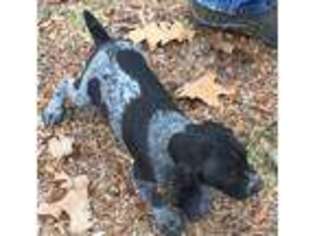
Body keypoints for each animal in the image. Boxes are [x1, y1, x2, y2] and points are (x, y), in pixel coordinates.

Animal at [42, 10, 264, 236]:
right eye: (228, 173)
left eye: (246, 157)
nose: (259, 185)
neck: (173, 134)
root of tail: (107, 42)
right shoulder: (141, 175)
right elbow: (156, 199)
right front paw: (168, 219)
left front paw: (194, 202)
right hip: (86, 93)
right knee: (65, 84)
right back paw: (53, 110)